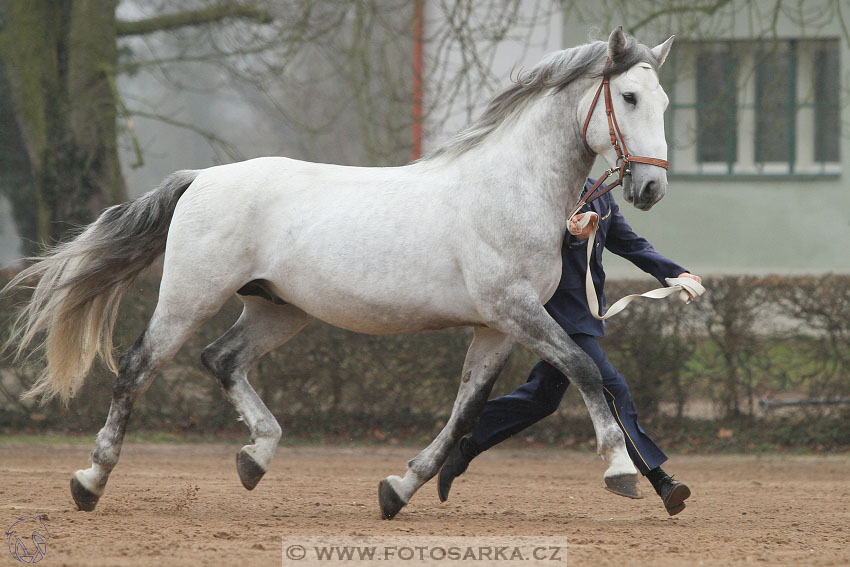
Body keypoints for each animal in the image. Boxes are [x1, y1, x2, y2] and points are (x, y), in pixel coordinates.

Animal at [3, 28, 672, 520]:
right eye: (630, 98)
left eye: (666, 101)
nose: (651, 188)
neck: (508, 188)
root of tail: (203, 176)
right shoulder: (515, 310)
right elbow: (585, 368)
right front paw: (619, 470)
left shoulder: (498, 327)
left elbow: (466, 410)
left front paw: (398, 490)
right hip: (190, 297)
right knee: (138, 366)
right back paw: (90, 481)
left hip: (278, 308)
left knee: (221, 359)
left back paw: (255, 458)